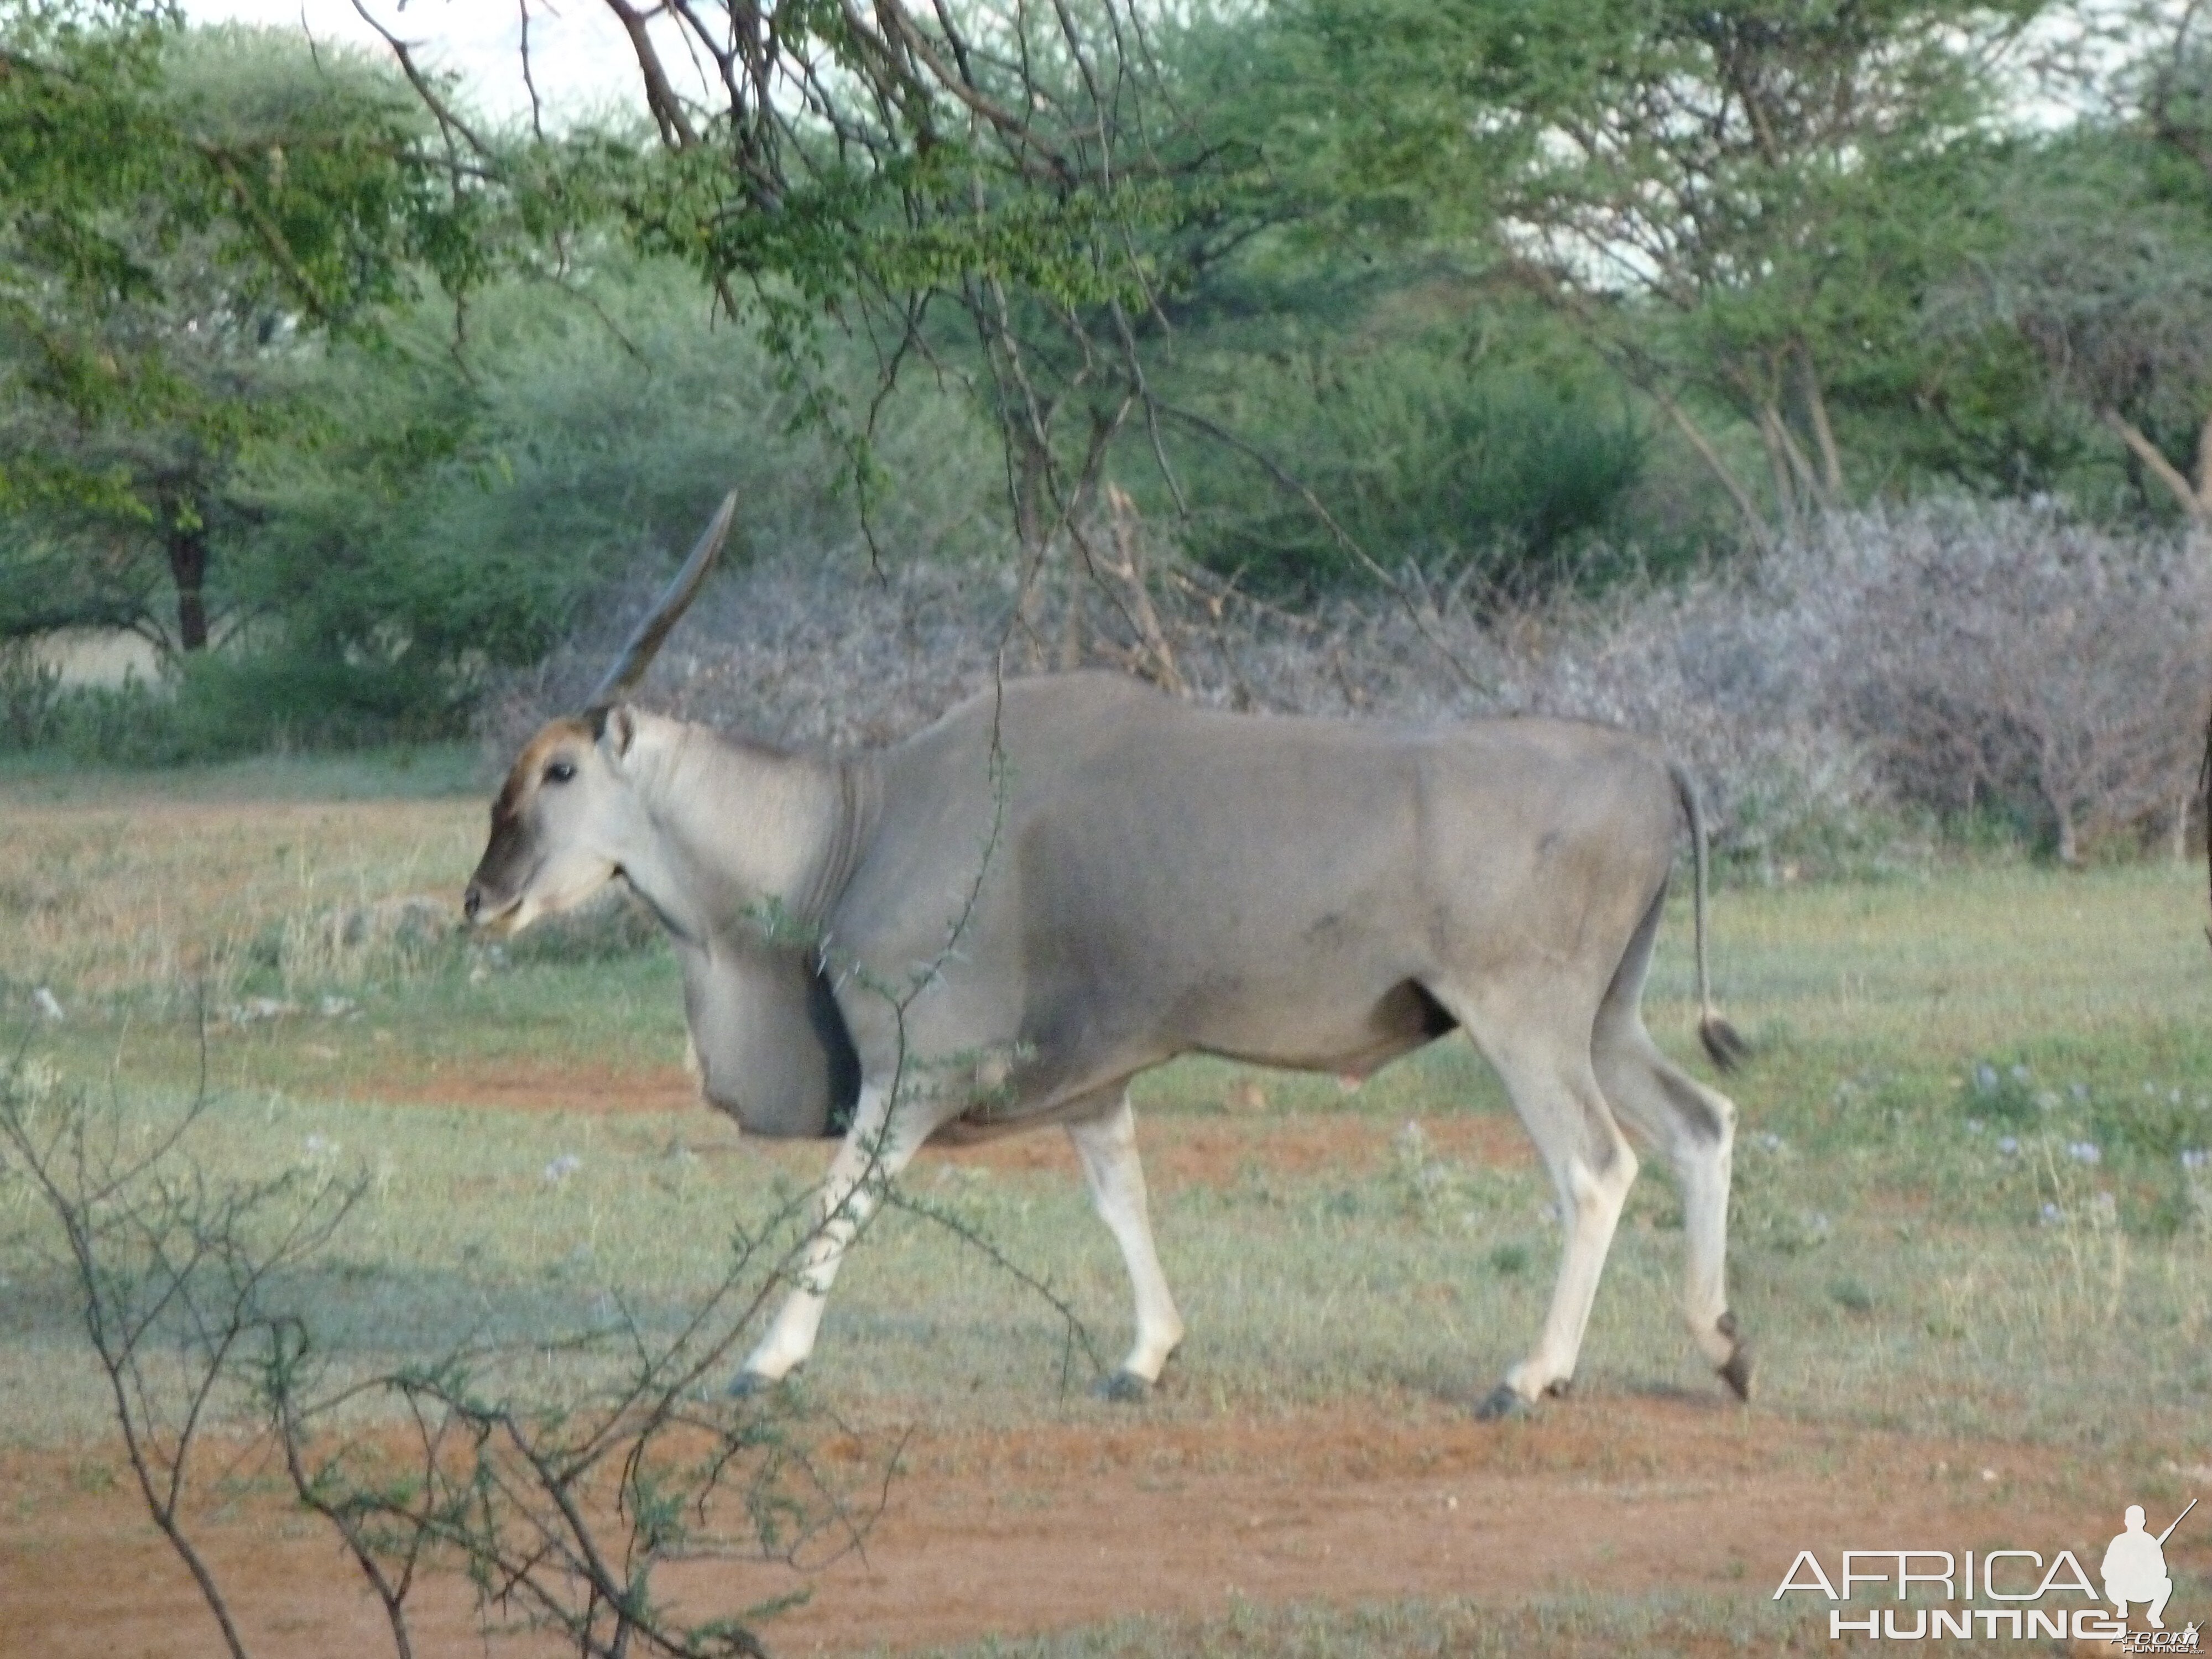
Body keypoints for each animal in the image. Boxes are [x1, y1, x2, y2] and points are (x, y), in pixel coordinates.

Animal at [471, 493, 1761, 1416]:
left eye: (560, 770)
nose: (484, 897)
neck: (856, 818)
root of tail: (1651, 761)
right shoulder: (1090, 1084)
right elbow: (1120, 1198)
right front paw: (1146, 1356)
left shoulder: (914, 1075)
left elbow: (841, 1199)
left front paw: (766, 1361)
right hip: (1606, 1019)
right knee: (1698, 1125)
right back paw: (1722, 1347)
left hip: (1521, 1021)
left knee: (1595, 1166)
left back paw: (1531, 1375)